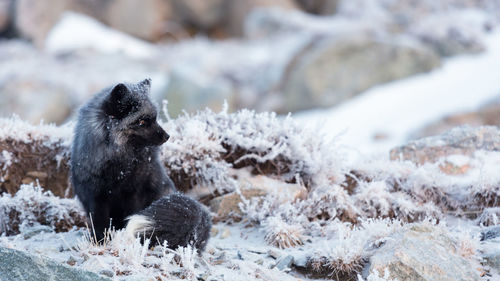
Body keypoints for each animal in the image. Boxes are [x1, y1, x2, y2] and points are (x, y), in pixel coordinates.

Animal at [70, 78, 211, 249]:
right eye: (142, 121)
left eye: (155, 118)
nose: (167, 136)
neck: (118, 166)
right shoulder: (96, 196)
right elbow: (99, 223)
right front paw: (100, 241)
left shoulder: (134, 193)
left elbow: (129, 216)